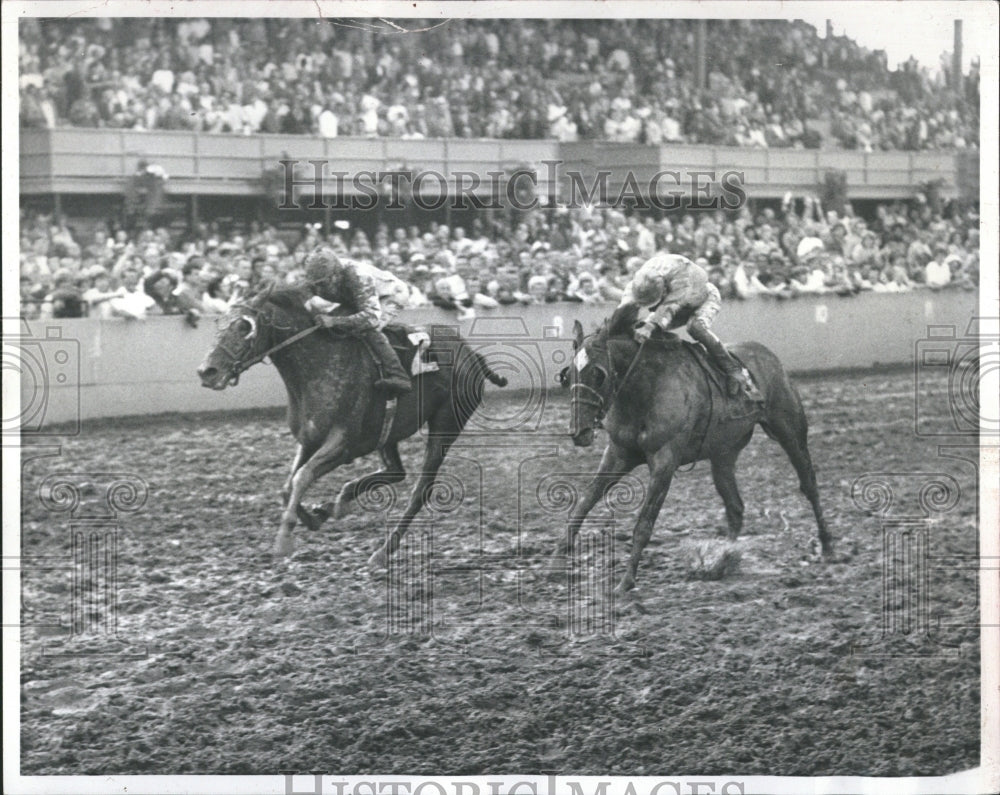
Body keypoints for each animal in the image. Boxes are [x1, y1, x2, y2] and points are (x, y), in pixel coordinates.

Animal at [196, 286, 508, 564]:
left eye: (243, 326)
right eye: (219, 323)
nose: (207, 371)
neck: (318, 366)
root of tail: (473, 356)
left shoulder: (343, 444)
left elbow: (302, 477)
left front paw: (284, 541)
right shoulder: (309, 439)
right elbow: (288, 486)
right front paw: (315, 515)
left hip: (445, 425)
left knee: (420, 490)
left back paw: (382, 551)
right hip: (388, 431)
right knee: (396, 471)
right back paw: (340, 503)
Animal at [560, 302, 832, 592]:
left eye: (598, 374)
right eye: (568, 375)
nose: (579, 432)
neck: (645, 387)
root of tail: (769, 356)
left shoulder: (664, 461)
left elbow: (644, 524)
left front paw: (626, 581)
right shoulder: (618, 453)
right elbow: (583, 503)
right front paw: (558, 558)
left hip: (791, 432)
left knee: (809, 485)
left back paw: (827, 546)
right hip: (724, 454)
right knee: (735, 507)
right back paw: (723, 560)